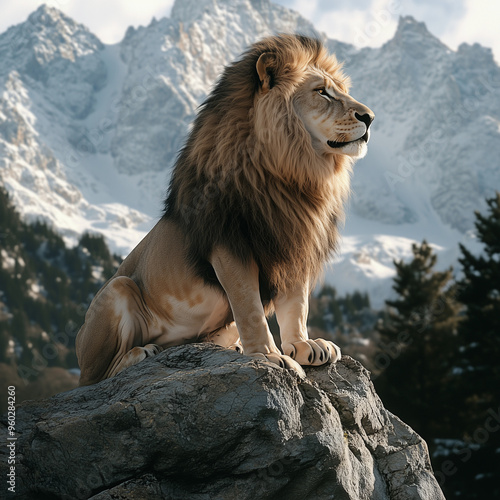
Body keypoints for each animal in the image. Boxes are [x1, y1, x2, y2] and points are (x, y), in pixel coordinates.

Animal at [76, 35, 374, 384]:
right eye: (322, 92)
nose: (370, 117)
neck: (295, 173)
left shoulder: (294, 245)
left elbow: (296, 305)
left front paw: (303, 346)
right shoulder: (231, 244)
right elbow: (250, 308)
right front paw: (269, 356)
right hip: (117, 291)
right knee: (99, 375)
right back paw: (142, 353)